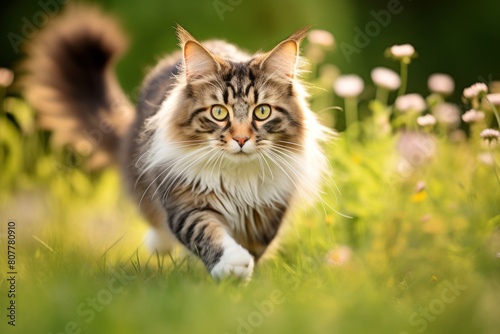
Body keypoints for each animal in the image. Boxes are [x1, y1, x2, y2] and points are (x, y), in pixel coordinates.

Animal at [23, 5, 330, 280]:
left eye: (262, 112)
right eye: (219, 112)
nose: (241, 138)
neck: (237, 179)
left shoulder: (269, 206)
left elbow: (258, 242)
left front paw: (249, 269)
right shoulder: (185, 198)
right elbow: (205, 231)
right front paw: (231, 265)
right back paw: (159, 245)